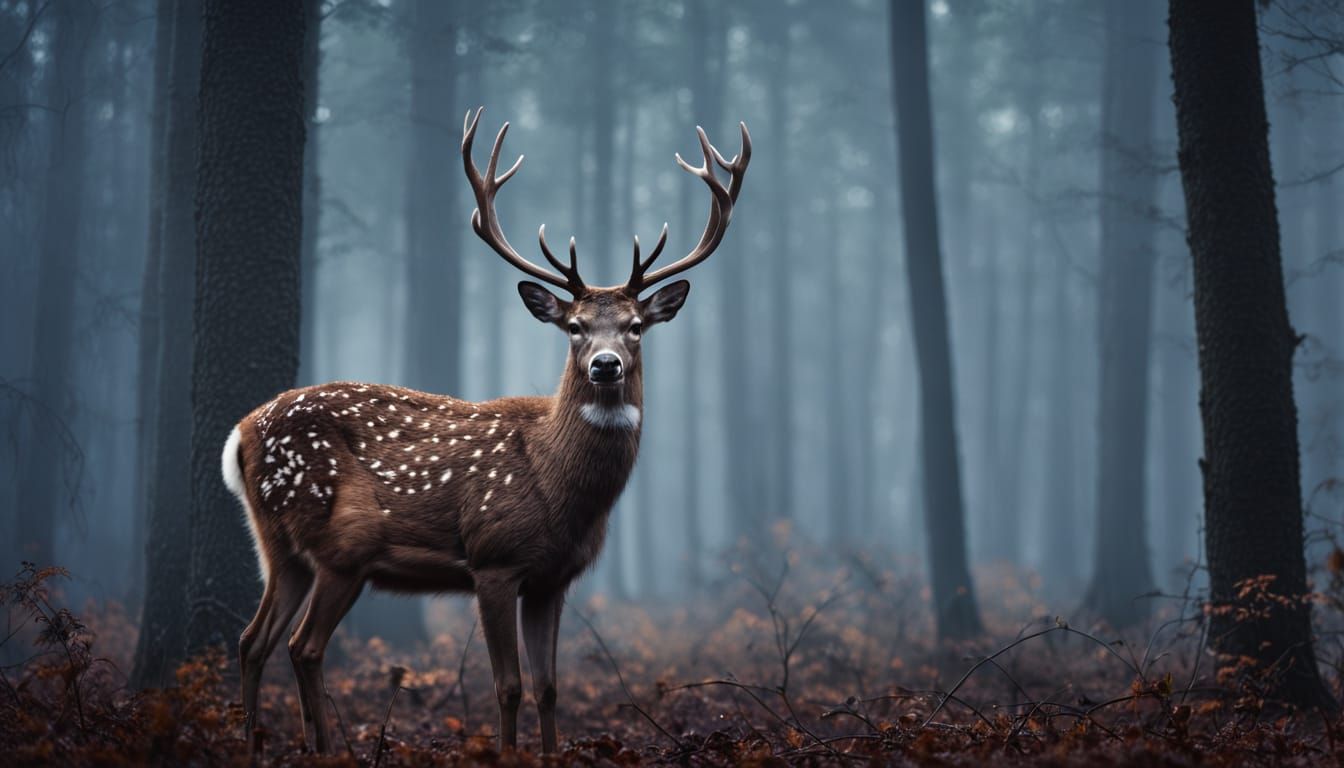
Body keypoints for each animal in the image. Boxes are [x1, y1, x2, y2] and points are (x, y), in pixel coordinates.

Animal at [223, 108, 750, 755]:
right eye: (574, 327)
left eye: (634, 326)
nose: (605, 365)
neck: (562, 489)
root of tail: (241, 433)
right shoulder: (493, 557)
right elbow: (509, 686)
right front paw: (506, 753)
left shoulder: (553, 578)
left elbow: (549, 687)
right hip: (340, 545)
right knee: (303, 647)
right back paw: (318, 749)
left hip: (284, 547)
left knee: (255, 640)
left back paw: (257, 745)